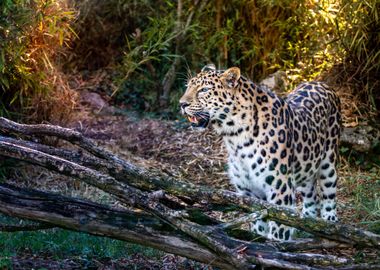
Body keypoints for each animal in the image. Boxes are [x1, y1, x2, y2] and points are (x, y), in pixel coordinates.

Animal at [178, 64, 342, 242]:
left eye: (204, 90)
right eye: (187, 86)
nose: (182, 104)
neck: (235, 137)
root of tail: (322, 83)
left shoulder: (281, 191)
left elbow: (279, 231)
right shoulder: (250, 194)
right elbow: (258, 226)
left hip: (328, 165)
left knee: (329, 199)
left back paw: (329, 228)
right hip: (306, 165)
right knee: (312, 197)